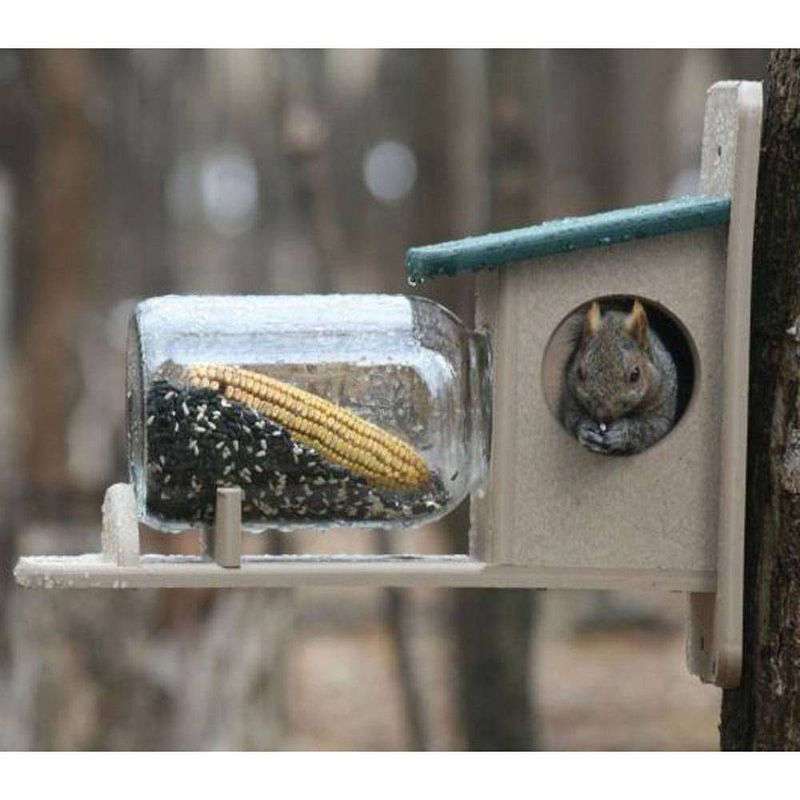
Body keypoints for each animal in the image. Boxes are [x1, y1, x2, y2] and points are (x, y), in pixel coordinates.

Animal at [560, 299, 678, 455]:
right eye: (579, 372)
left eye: (635, 375)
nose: (603, 416)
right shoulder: (570, 397)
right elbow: (571, 418)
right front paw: (585, 429)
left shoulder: (663, 404)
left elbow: (652, 427)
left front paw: (623, 434)